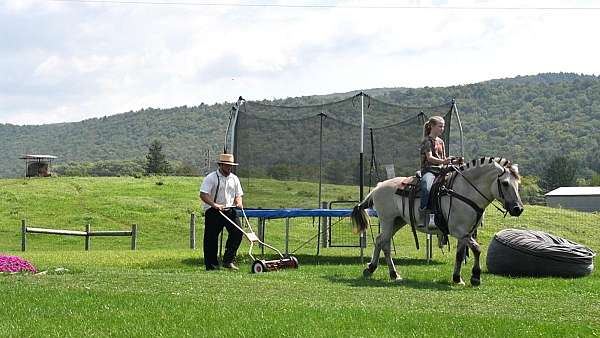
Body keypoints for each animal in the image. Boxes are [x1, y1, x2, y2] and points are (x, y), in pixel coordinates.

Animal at [350, 156, 524, 286]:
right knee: (383, 242)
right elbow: (477, 249)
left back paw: (382, 271)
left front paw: (457, 278)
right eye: (505, 183)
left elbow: (460, 255)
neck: (465, 191)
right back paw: (385, 271)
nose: (518, 209)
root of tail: (378, 186)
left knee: (382, 241)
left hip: (398, 221)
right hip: (387, 220)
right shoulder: (459, 231)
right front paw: (475, 277)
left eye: (518, 183)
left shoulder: (465, 233)